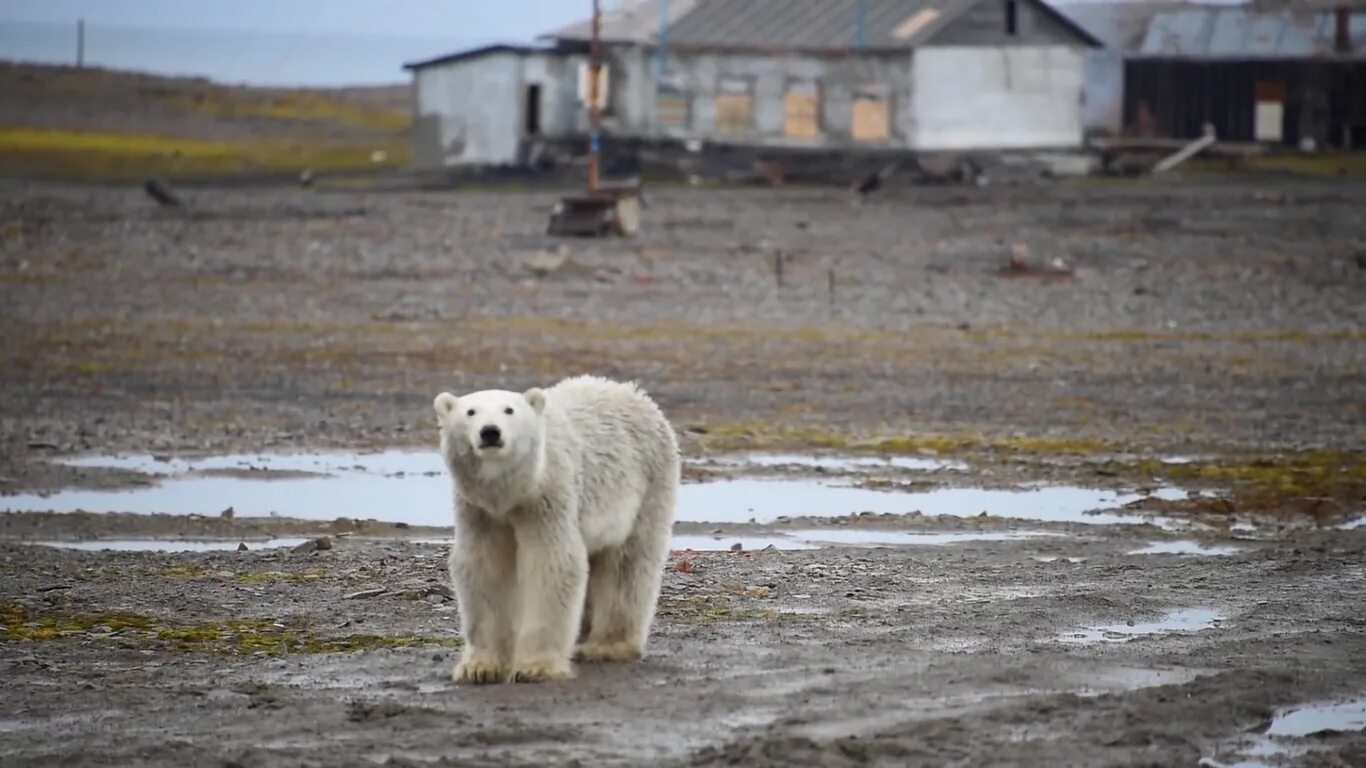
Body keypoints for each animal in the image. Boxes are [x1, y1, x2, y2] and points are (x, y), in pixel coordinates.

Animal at [431, 374, 677, 677]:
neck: (511, 493)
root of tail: (634, 393)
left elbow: (552, 563)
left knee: (627, 564)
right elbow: (484, 567)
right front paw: (480, 668)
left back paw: (607, 646)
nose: (490, 432)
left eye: (509, 410)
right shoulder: (479, 511)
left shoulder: (548, 496)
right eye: (471, 412)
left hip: (646, 488)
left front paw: (535, 667)